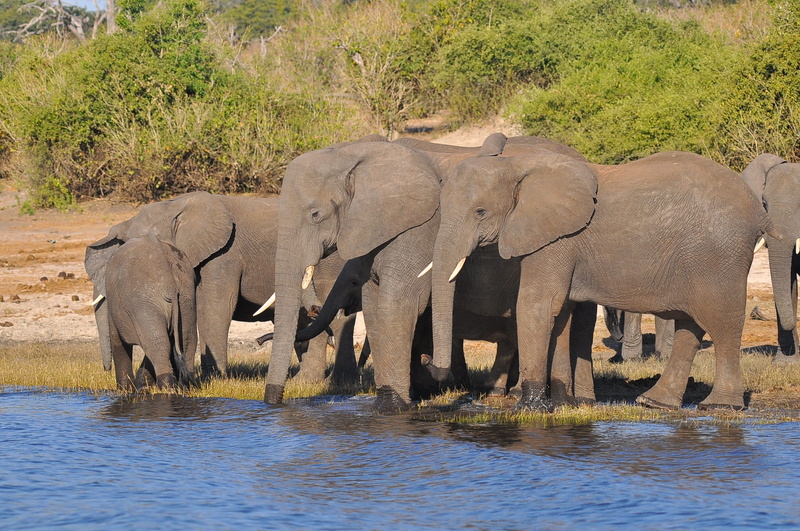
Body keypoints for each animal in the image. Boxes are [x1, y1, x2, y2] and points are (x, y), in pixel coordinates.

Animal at [103, 235, 196, 390]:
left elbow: (117, 340)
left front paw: (125, 389)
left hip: (144, 300)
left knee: (157, 343)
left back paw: (166, 387)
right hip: (186, 296)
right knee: (187, 341)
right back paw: (185, 387)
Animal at [265, 133, 591, 411]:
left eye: (315, 214)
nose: (272, 399)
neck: (356, 155)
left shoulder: (417, 229)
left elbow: (397, 304)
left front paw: (394, 406)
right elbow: (374, 307)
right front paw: (392, 400)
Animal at [429, 148, 778, 411]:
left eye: (480, 212)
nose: (434, 369)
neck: (516, 165)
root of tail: (759, 211)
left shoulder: (557, 239)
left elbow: (538, 305)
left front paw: (528, 408)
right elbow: (561, 313)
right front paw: (564, 403)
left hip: (718, 254)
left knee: (721, 322)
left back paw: (721, 405)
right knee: (689, 325)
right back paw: (655, 403)